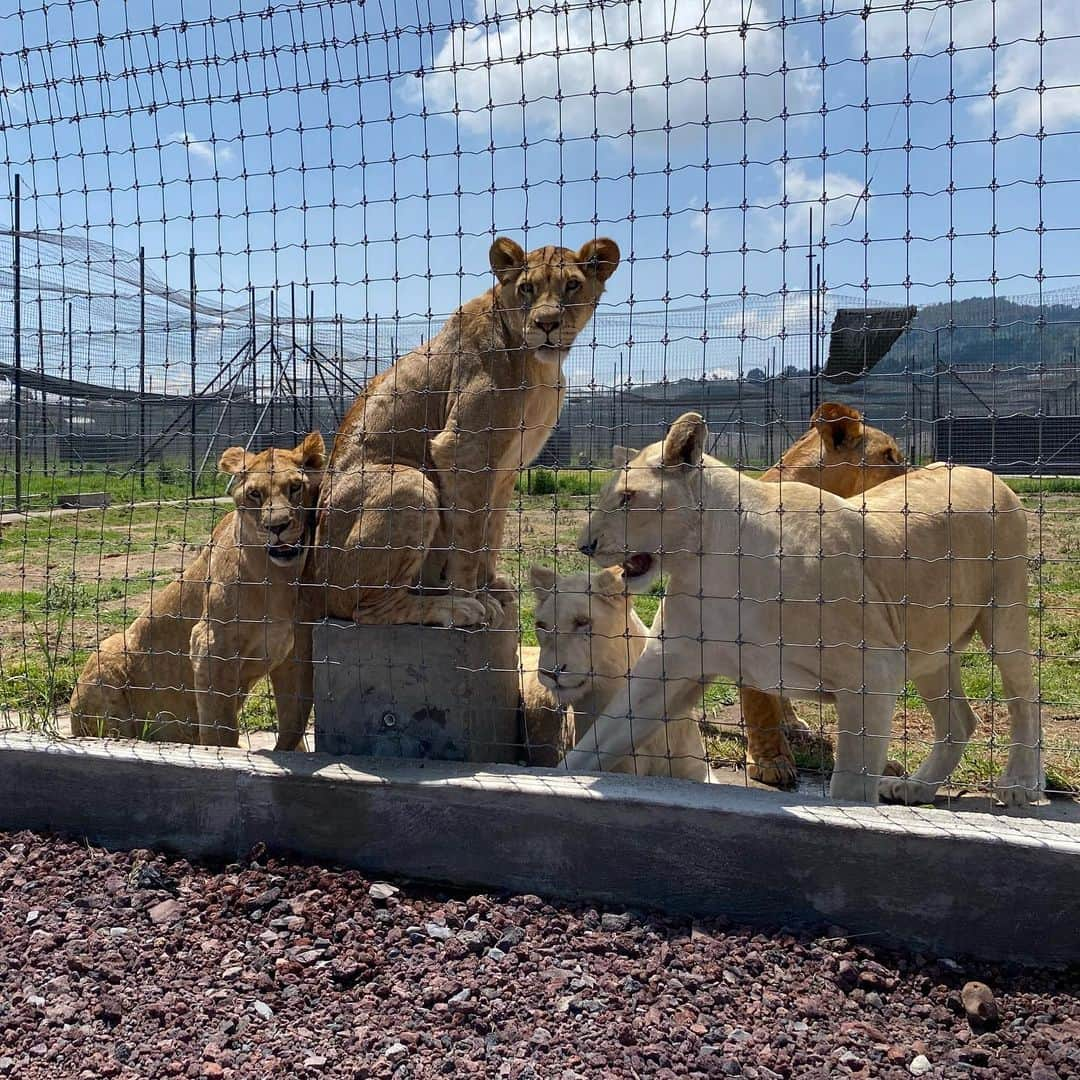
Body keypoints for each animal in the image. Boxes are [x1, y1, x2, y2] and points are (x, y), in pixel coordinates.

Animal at [70, 434, 324, 747]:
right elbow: (221, 727)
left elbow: (292, 721)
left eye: (295, 487)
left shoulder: (295, 651)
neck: (280, 578)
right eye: (255, 494)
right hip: (110, 650)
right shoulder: (210, 642)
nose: (277, 526)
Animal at [274, 237, 622, 751]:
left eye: (573, 285)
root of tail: (311, 575)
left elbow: (490, 533)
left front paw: (493, 587)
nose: (546, 323)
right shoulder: (463, 448)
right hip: (410, 484)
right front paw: (473, 597)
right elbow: (469, 537)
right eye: (527, 288)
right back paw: (448, 606)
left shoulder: (505, 468)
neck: (538, 366)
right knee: (362, 607)